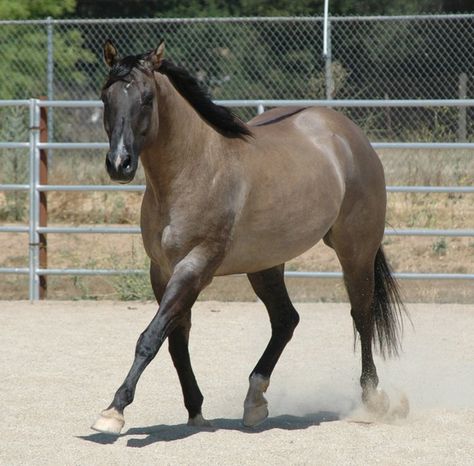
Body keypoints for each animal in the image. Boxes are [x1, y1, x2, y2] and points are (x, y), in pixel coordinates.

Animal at [91, 41, 404, 436]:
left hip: (355, 251)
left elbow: (150, 338)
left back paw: (372, 398)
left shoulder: (195, 267)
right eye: (106, 96)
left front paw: (114, 410)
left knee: (361, 315)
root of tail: (349, 134)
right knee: (286, 320)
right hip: (266, 264)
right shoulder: (162, 272)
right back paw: (255, 401)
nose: (120, 164)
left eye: (147, 98)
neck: (194, 170)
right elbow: (175, 340)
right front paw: (196, 412)